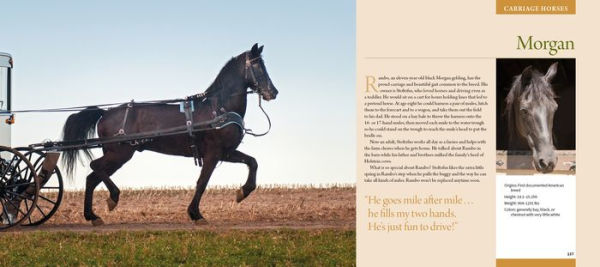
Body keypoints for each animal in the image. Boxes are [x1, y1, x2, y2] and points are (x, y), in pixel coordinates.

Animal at [62, 44, 278, 226]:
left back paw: (92, 216)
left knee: (92, 177)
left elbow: (252, 162)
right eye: (258, 66)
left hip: (116, 155)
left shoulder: (226, 152)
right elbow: (202, 182)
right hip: (119, 154)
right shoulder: (213, 153)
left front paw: (243, 192)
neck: (218, 108)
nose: (273, 92)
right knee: (95, 167)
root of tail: (105, 112)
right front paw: (195, 214)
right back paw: (113, 198)